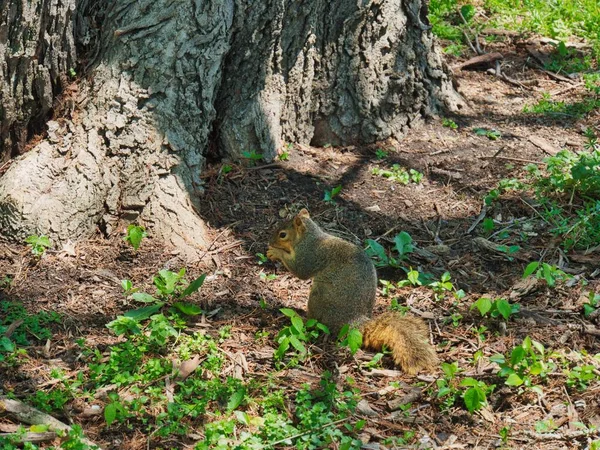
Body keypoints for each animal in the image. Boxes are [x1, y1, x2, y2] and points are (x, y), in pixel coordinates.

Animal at [266, 209, 436, 374]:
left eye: (282, 234)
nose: (270, 241)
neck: (310, 237)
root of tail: (354, 321)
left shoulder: (309, 256)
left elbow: (300, 271)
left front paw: (275, 252)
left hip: (319, 297)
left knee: (316, 320)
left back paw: (301, 316)